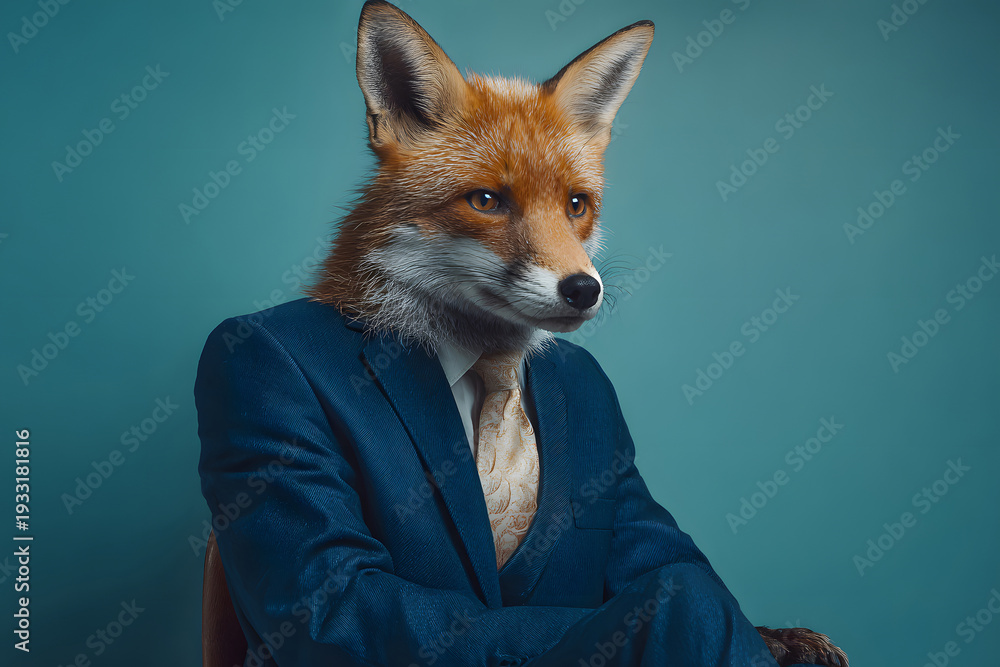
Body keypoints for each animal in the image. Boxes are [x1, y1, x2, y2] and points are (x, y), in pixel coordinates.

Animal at [299, 1, 847, 665]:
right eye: (486, 201)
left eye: (577, 205)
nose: (584, 289)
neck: (489, 359)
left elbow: (683, 569)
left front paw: (785, 638)